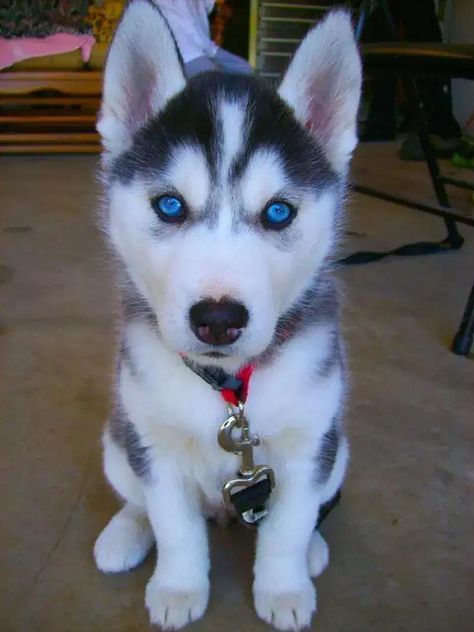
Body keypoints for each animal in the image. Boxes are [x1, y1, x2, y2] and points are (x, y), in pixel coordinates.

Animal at [94, 2, 362, 628]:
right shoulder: (152, 442)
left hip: (337, 451)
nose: (218, 318)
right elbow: (174, 526)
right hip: (117, 441)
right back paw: (125, 533)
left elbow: (288, 526)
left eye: (279, 211)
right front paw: (178, 587)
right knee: (138, 500)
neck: (228, 388)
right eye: (170, 205)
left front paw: (284, 588)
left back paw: (312, 549)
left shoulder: (310, 442)